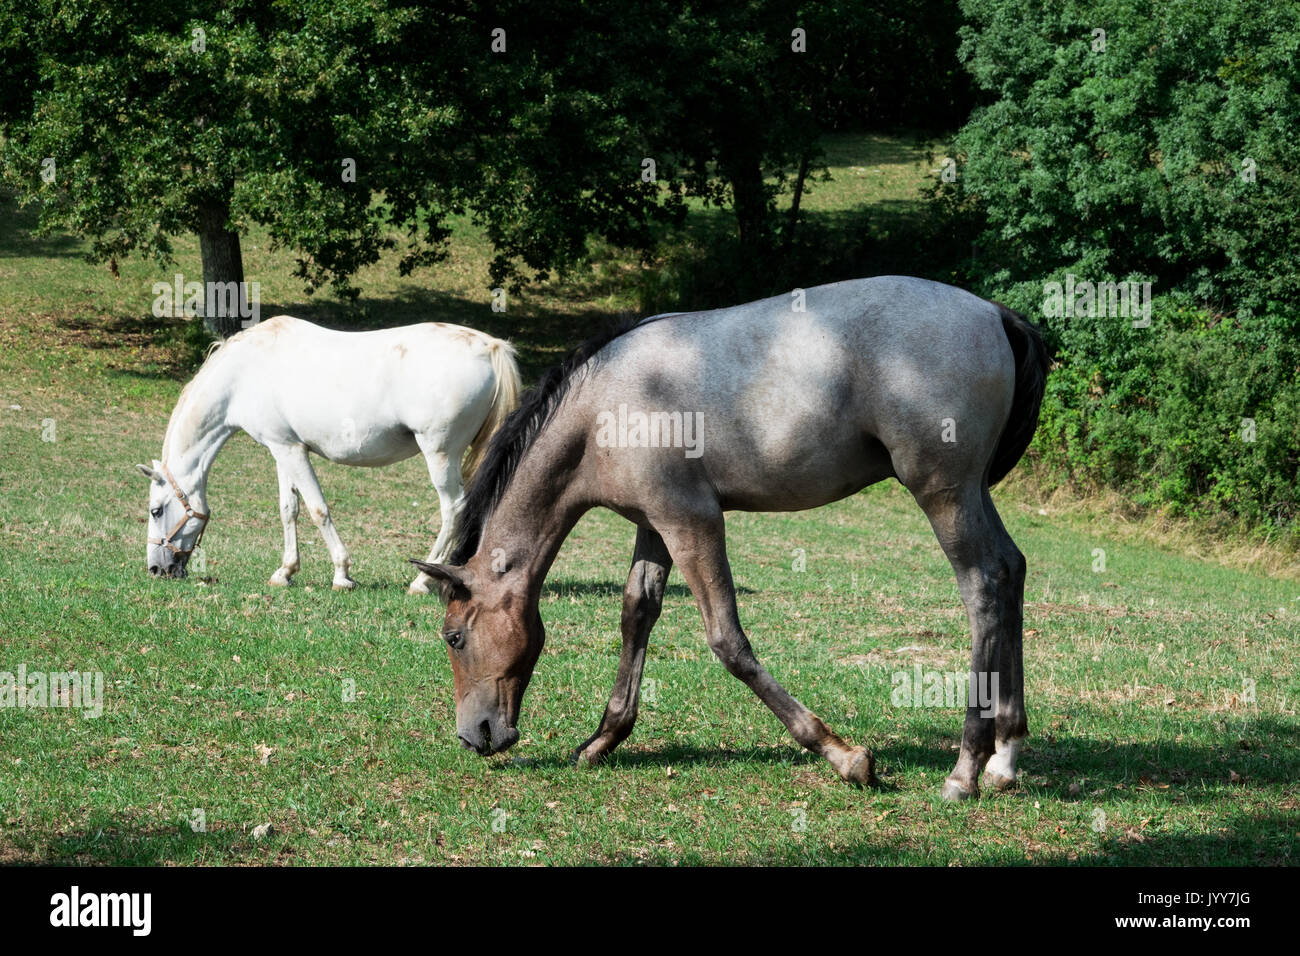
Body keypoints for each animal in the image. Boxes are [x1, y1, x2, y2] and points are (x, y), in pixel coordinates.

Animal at [137, 315, 521, 594]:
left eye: (156, 510)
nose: (156, 568)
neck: (244, 375)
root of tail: (490, 347)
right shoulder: (281, 449)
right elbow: (288, 510)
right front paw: (285, 572)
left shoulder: (292, 450)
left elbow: (318, 509)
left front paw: (342, 574)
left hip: (440, 455)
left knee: (453, 510)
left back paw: (422, 581)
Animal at [411, 275, 1049, 800]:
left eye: (454, 637)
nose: (475, 735)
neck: (603, 408)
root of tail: (993, 313)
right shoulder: (655, 524)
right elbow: (636, 614)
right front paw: (603, 739)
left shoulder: (692, 522)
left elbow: (727, 640)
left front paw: (843, 756)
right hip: (971, 493)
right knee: (1011, 570)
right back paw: (1005, 757)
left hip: (944, 495)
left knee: (982, 586)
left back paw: (966, 769)